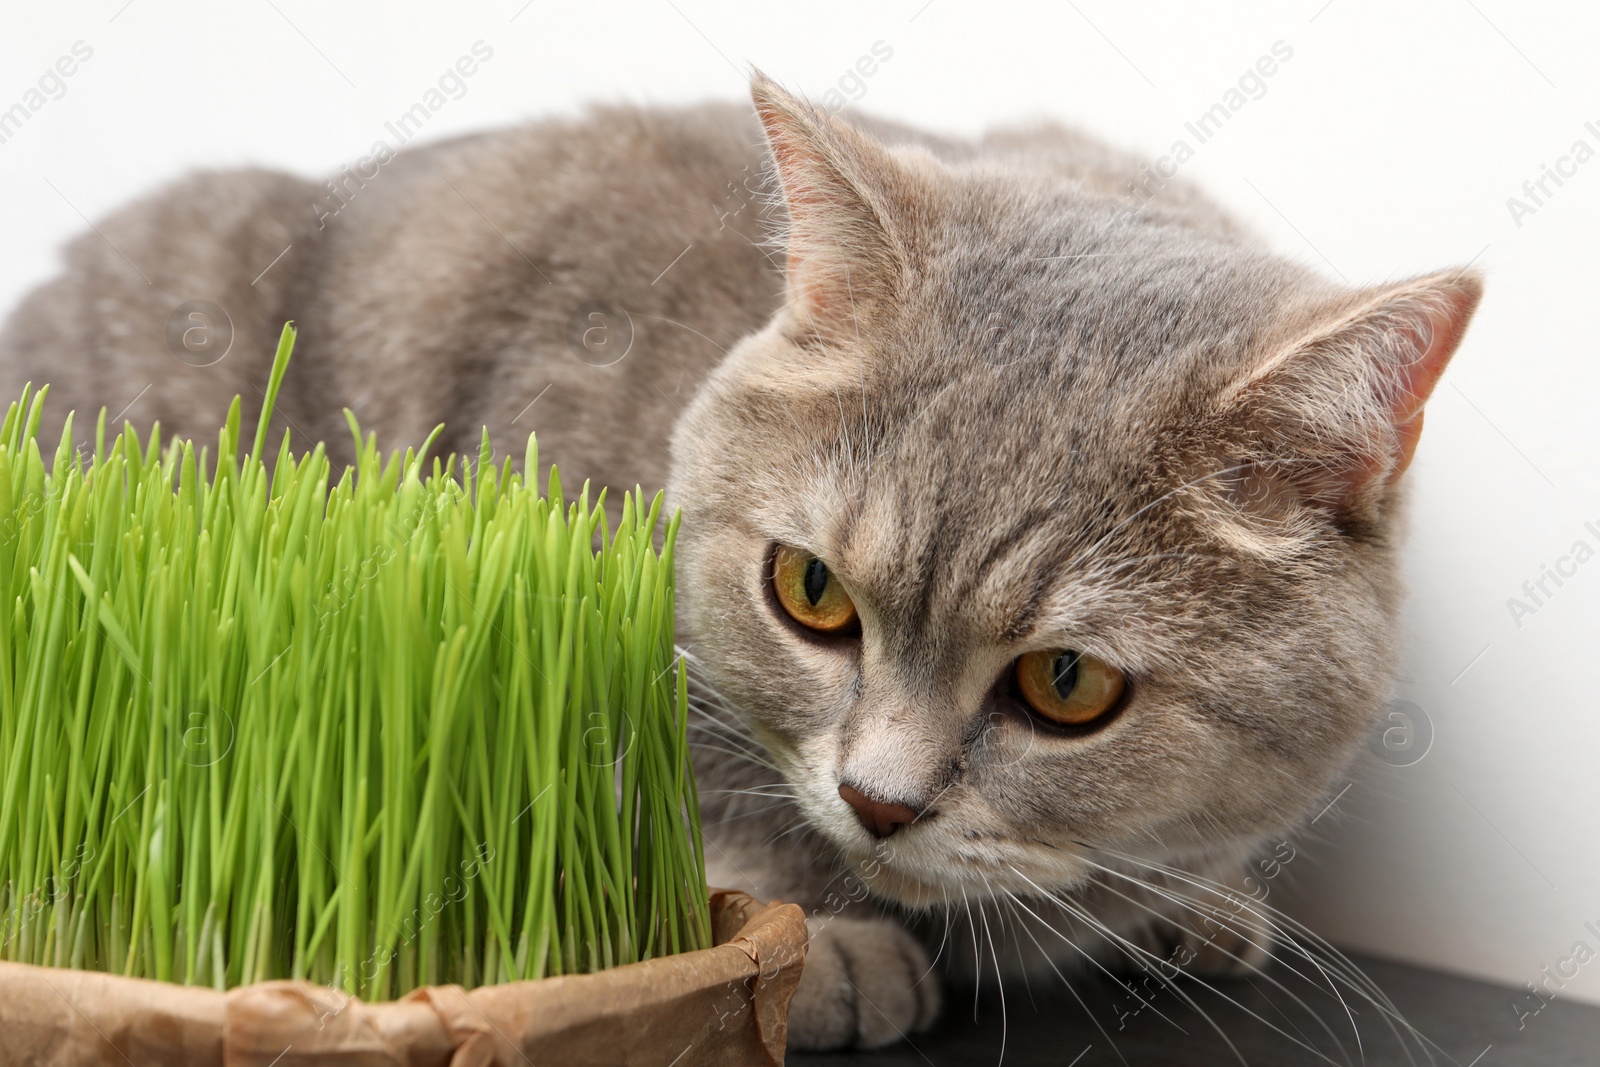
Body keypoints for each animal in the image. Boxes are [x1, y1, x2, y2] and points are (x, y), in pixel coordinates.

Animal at [0, 75, 1472, 1049]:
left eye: (1067, 683)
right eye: (809, 593)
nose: (881, 799)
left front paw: (1195, 902)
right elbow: (687, 778)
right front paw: (820, 950)